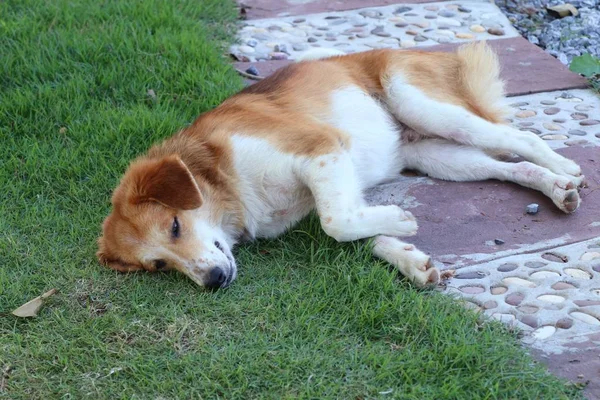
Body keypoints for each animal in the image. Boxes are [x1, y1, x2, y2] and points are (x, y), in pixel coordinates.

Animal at [96, 43, 584, 288]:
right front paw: (410, 259)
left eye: (176, 226)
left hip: (426, 107)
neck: (219, 176)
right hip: (438, 155)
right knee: (506, 167)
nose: (214, 280)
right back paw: (556, 188)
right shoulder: (327, 185)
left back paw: (567, 169)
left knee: (520, 138)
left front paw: (402, 220)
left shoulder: (321, 149)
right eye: (159, 266)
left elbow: (337, 222)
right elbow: (358, 231)